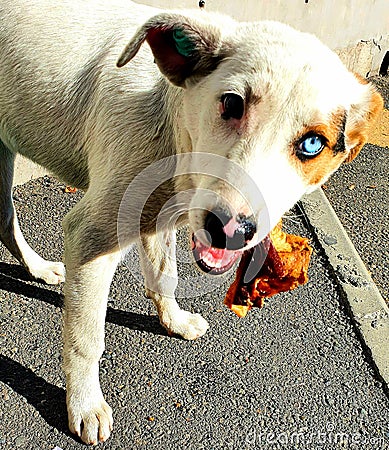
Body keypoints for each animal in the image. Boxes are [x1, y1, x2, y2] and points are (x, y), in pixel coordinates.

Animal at [0, 0, 382, 442]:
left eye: (313, 144)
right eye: (231, 104)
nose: (230, 230)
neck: (172, 126)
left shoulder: (158, 216)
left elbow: (165, 275)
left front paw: (174, 321)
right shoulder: (91, 236)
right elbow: (86, 338)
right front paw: (85, 406)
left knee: (3, 217)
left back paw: (37, 267)